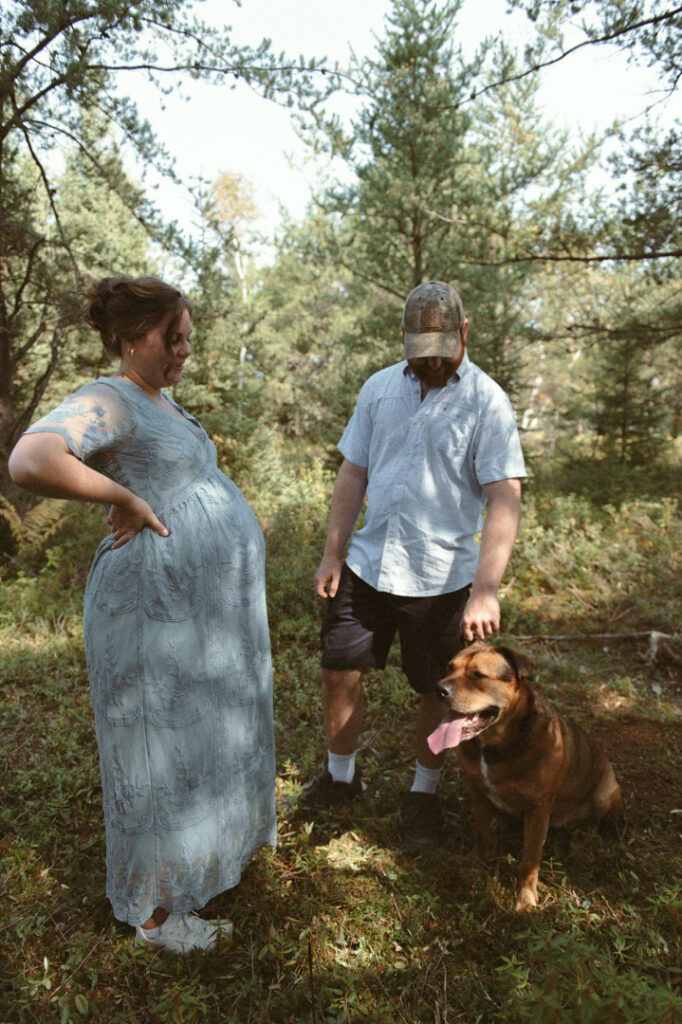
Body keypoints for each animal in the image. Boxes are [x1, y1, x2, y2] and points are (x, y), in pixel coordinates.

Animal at [430, 638, 622, 913]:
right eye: (449, 667)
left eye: (478, 675)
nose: (438, 689)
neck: (496, 742)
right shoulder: (476, 789)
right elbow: (482, 832)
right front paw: (476, 860)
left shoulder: (538, 808)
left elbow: (529, 860)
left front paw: (525, 899)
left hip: (606, 792)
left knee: (597, 821)